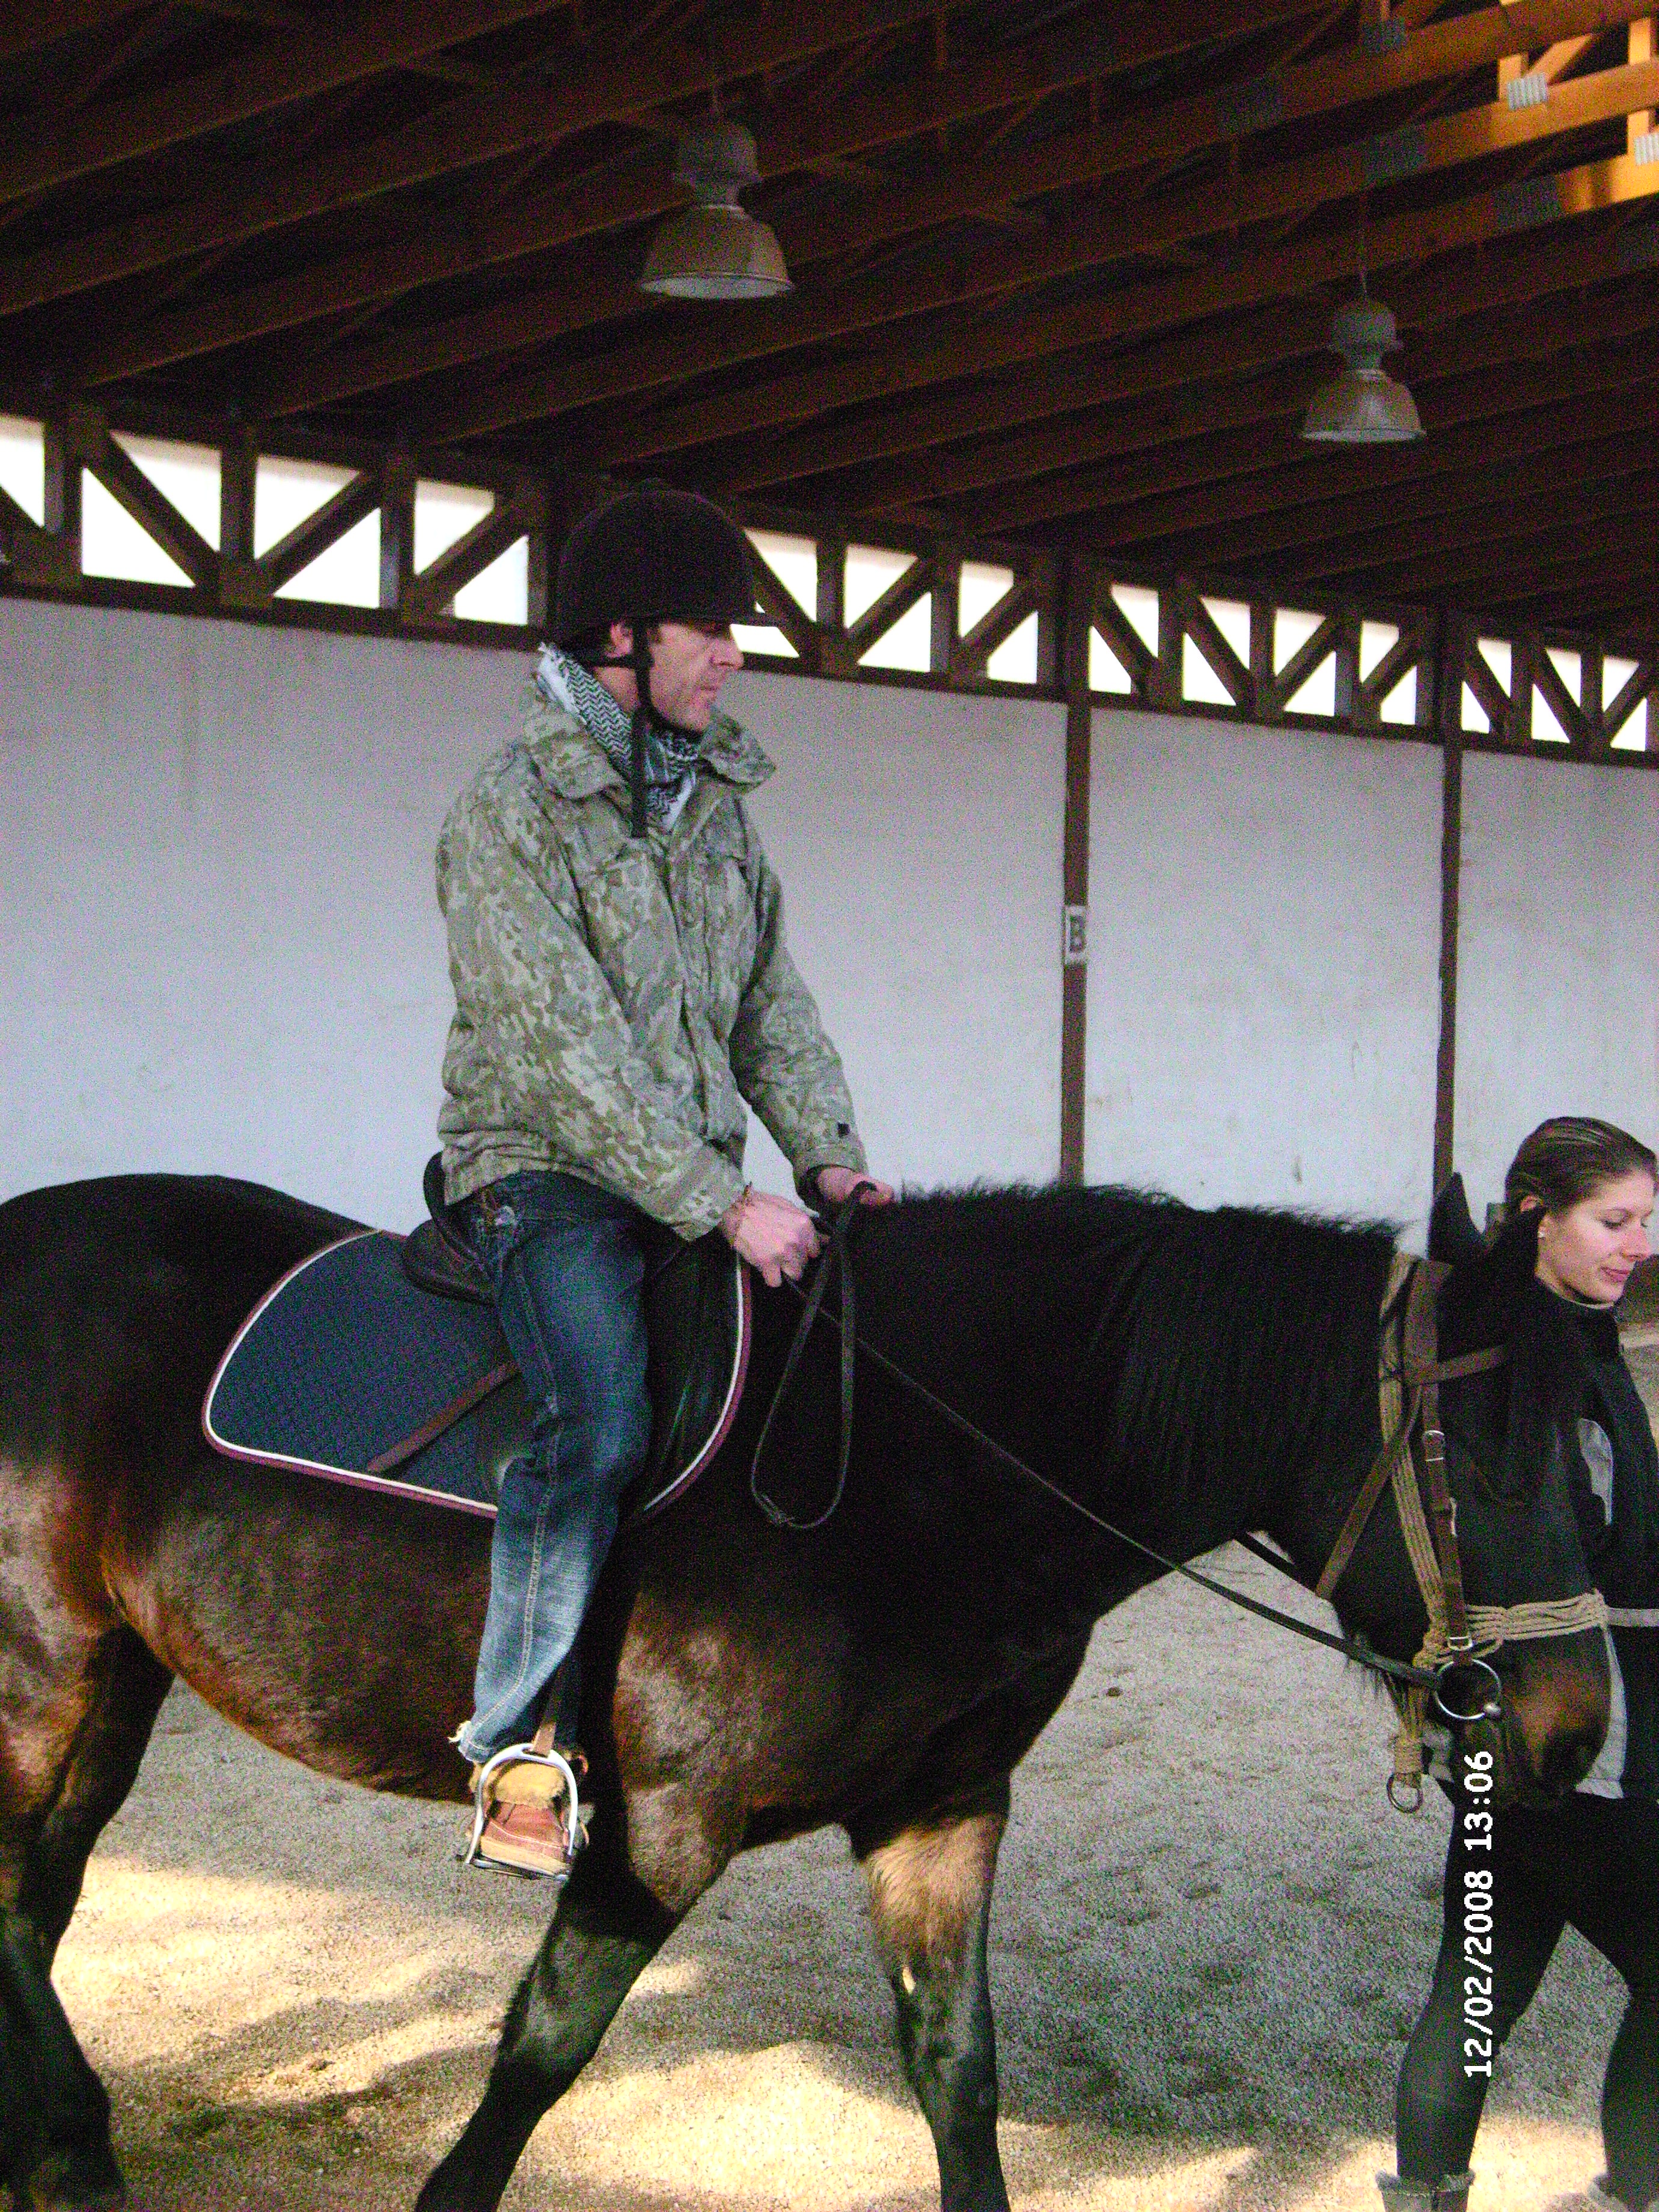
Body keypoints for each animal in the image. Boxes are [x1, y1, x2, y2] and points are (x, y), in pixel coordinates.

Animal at [0, 1170, 1609, 2212]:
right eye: (1486, 1458)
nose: (1572, 1727)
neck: (912, 1460)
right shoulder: (659, 1829)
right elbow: (535, 2059)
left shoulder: (943, 1810)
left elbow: (958, 2072)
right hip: (47, 1672)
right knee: (24, 1894)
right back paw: (73, 2144)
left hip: (118, 1677)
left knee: (44, 1891)